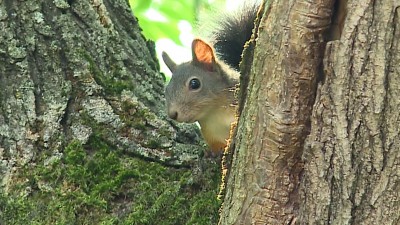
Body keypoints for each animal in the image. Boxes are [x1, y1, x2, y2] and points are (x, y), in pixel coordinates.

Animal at [162, 1, 260, 154]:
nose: (172, 114)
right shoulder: (211, 134)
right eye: (166, 90)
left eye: (194, 84)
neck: (215, 112)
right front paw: (212, 153)